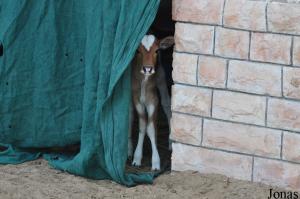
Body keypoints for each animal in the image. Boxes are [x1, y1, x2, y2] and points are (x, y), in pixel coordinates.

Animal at [128, 35, 175, 170]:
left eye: (157, 51)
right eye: (138, 51)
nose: (148, 69)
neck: (144, 82)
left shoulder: (153, 99)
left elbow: (151, 128)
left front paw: (155, 162)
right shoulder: (136, 98)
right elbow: (142, 125)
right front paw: (136, 158)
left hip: (161, 77)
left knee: (167, 104)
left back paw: (171, 142)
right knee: (130, 114)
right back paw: (128, 149)